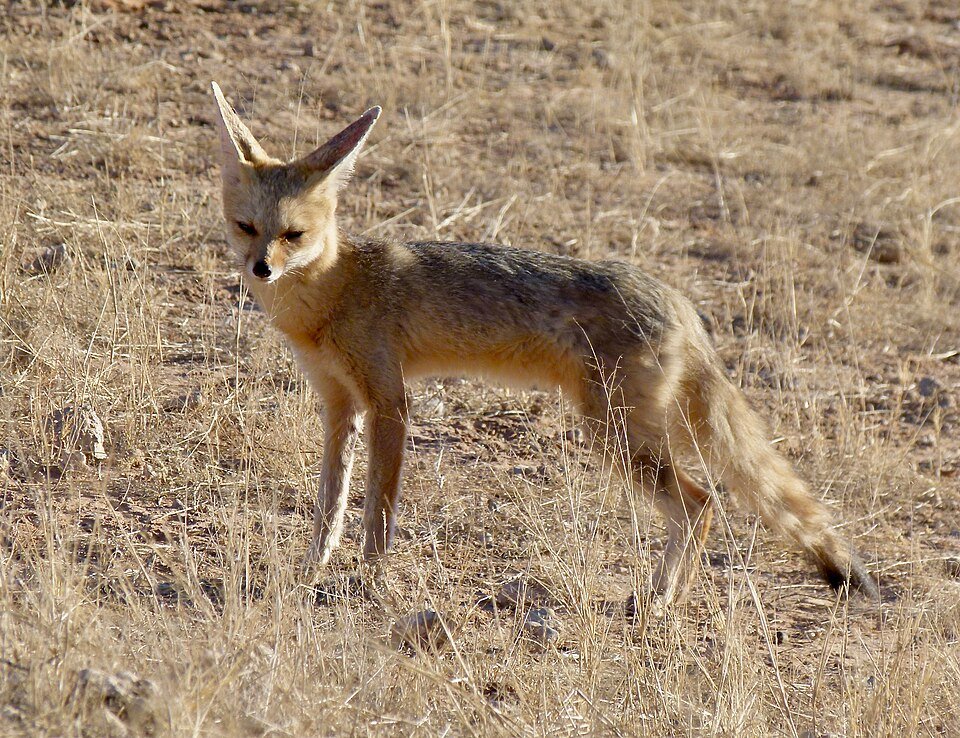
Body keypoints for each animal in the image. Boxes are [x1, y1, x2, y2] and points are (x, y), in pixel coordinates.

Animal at [210, 82, 879, 605]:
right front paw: (312, 566)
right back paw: (663, 596)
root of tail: (680, 303)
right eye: (247, 228)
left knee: (702, 501)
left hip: (613, 434)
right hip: (624, 430)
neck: (336, 288)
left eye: (294, 235)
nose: (260, 269)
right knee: (703, 502)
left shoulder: (390, 402)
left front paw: (369, 579)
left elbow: (378, 510)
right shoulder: (339, 403)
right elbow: (331, 504)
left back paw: (661, 601)